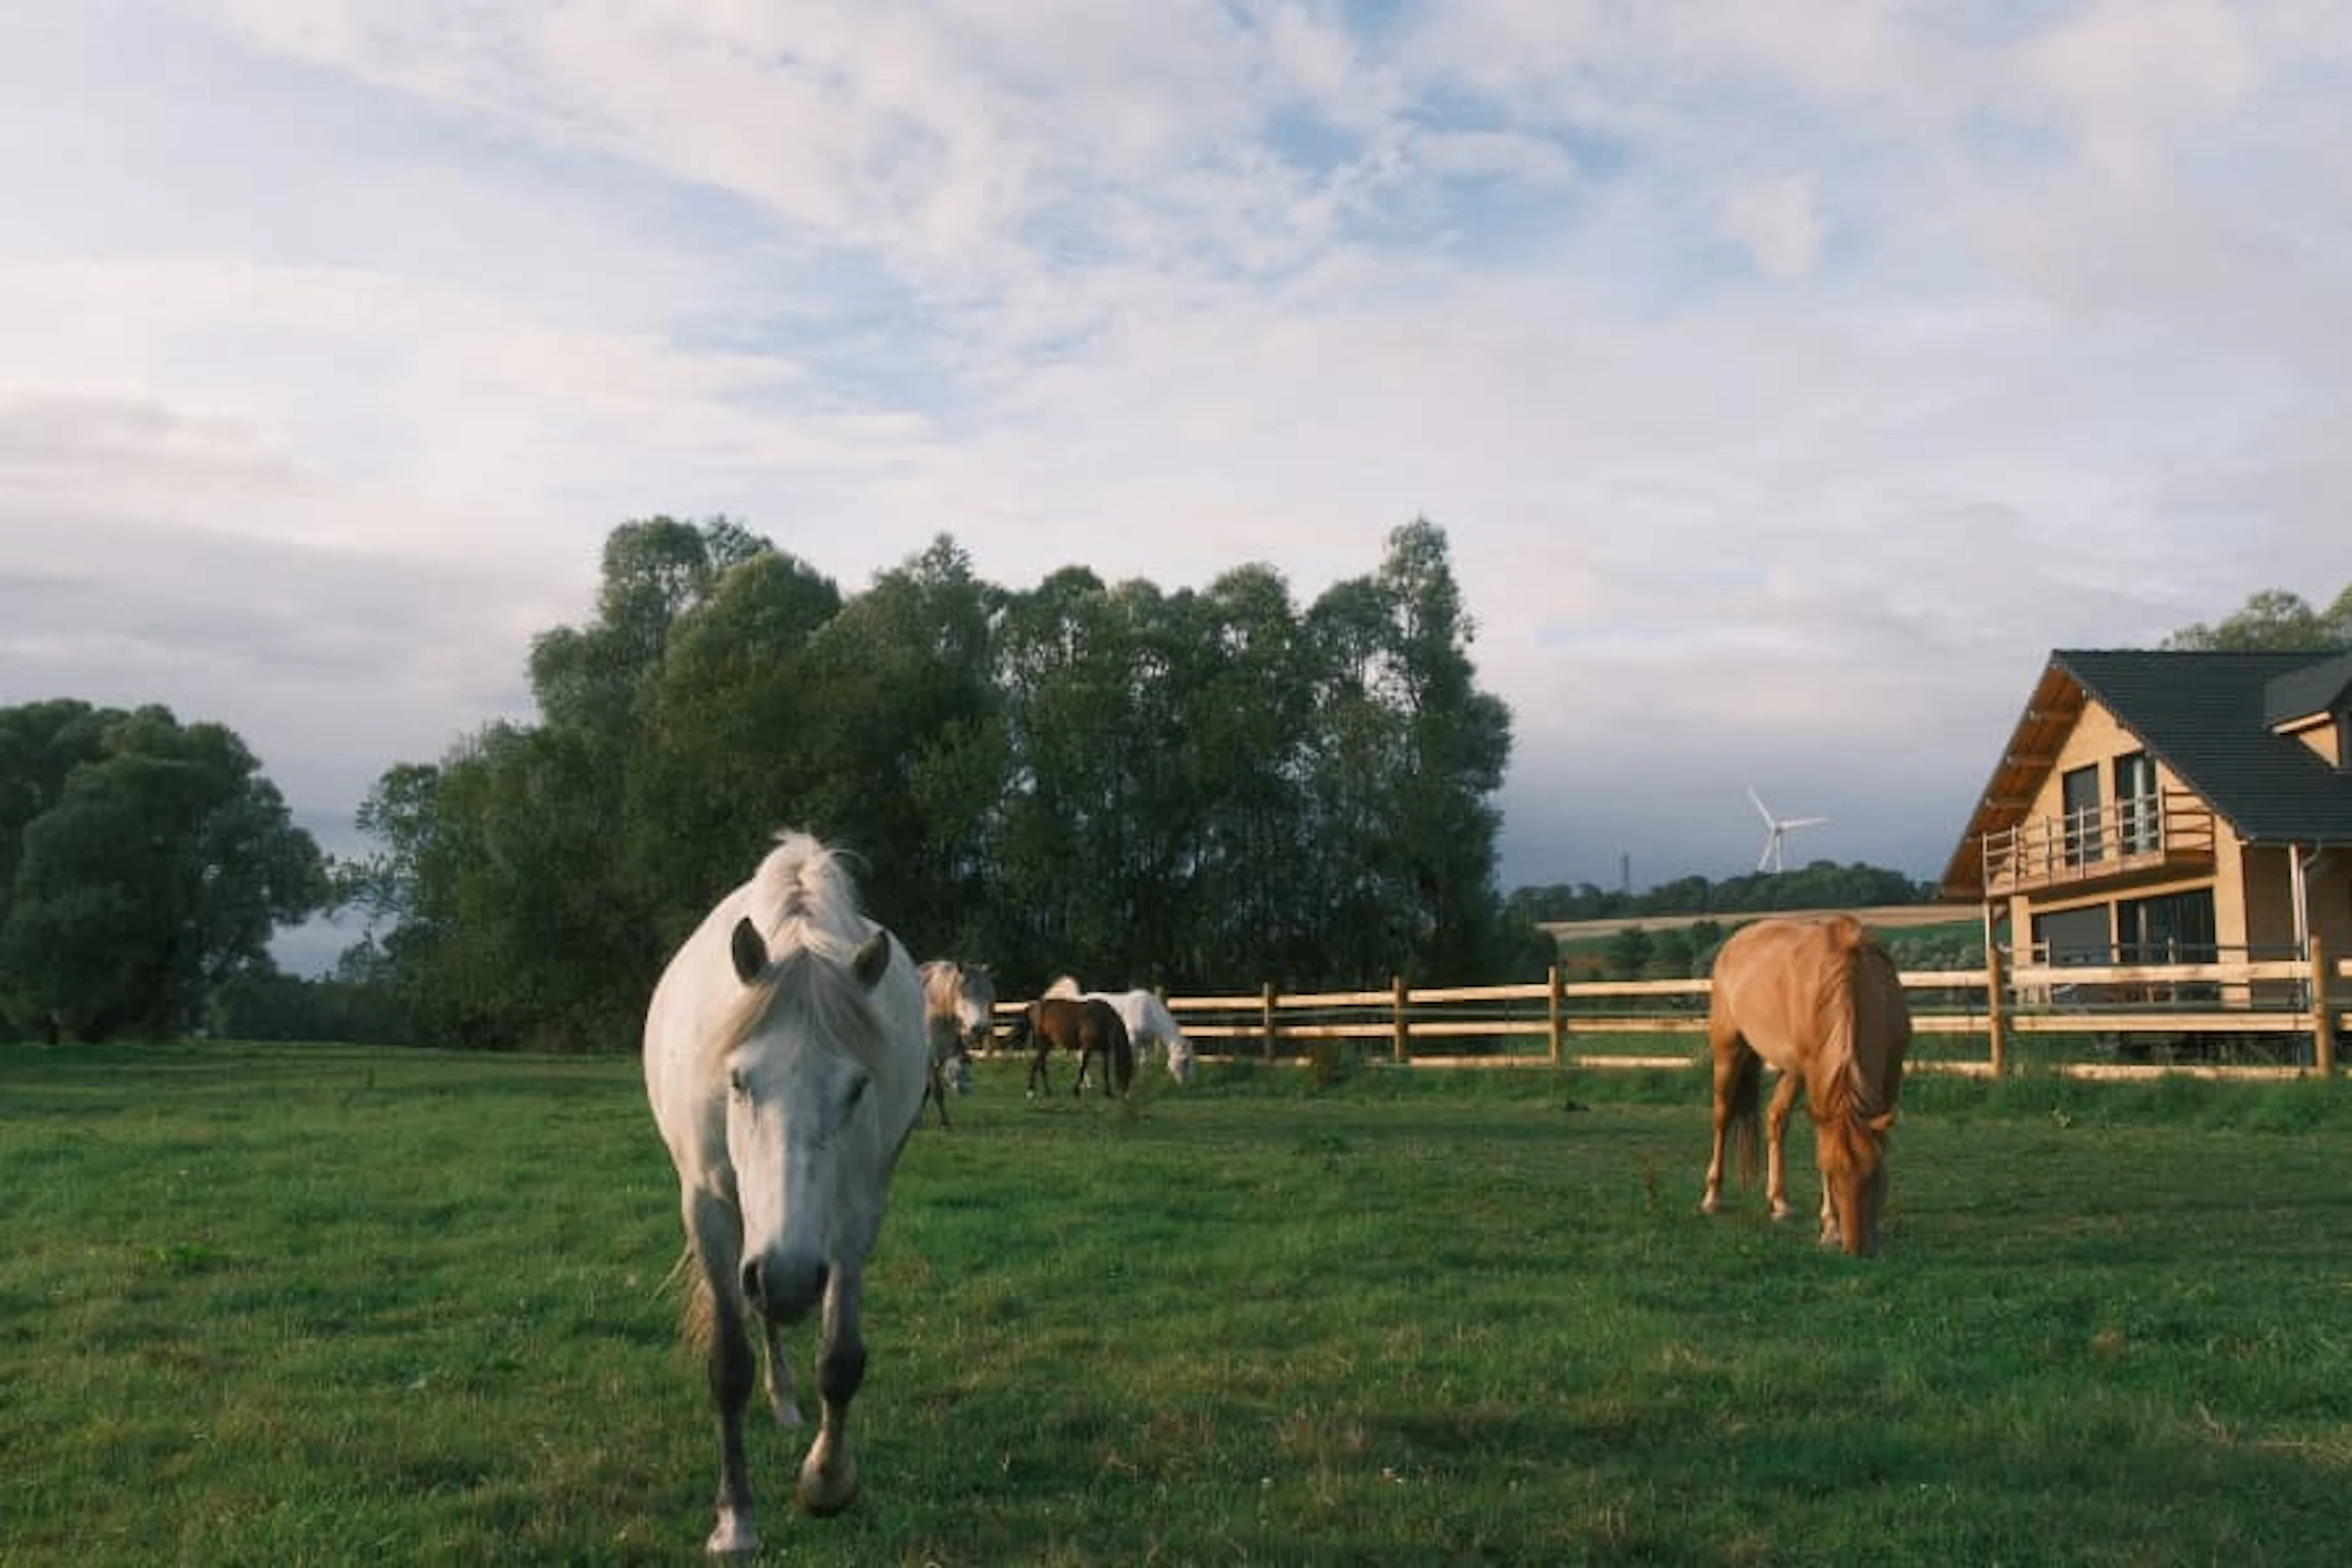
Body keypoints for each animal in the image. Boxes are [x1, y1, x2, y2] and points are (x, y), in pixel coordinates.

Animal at [642, 831, 929, 1554]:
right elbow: (729, 1365)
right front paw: (736, 1520)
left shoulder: (856, 1215)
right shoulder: (709, 1208)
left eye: (856, 1088)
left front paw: (827, 1481)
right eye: (738, 1080)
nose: (790, 1276)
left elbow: (842, 1358)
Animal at [916, 960, 993, 1128]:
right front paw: (944, 1123)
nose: (980, 1028)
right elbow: (936, 1090)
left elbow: (926, 1090)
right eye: (964, 994)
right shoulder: (930, 1057)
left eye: (988, 994)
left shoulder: (945, 1054)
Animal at [1005, 995, 1134, 1098]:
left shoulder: (1105, 1050)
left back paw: (1047, 1091)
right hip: (1043, 1043)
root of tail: (1034, 1006)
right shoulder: (1087, 1048)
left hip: (1048, 1044)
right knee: (1037, 1064)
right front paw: (1076, 1090)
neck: (1101, 1018)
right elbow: (1083, 1067)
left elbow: (1105, 1070)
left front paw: (1108, 1092)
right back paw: (1031, 1091)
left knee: (1040, 1064)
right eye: (1126, 1069)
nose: (1126, 1094)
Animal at [1044, 976, 1197, 1084]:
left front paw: (1143, 1080)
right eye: (1185, 1061)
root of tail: (1078, 999)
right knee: (1082, 1057)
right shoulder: (1131, 1039)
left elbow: (1145, 1062)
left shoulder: (1146, 1042)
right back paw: (1088, 1083)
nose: (1186, 1083)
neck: (1149, 1011)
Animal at [1699, 914, 1911, 1258]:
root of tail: (1734, 943)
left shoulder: (1892, 1072)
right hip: (1728, 1051)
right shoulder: (1817, 1078)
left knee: (1775, 1119)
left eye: (1873, 1175)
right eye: (1832, 1176)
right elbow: (1822, 1143)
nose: (1855, 1248)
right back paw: (1712, 1197)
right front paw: (1830, 1227)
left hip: (1792, 1071)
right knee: (1722, 1116)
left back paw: (1779, 1202)